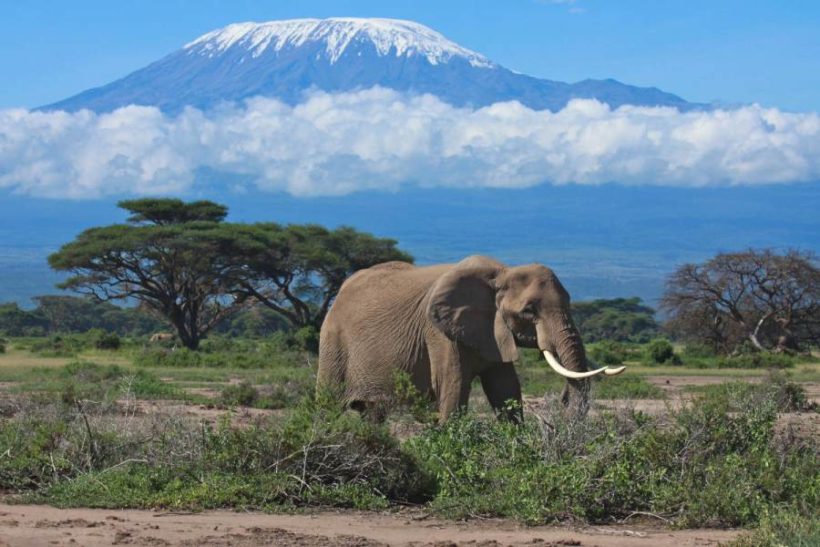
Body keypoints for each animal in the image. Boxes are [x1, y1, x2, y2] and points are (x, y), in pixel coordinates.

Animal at [318, 255, 624, 422]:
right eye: (529, 310)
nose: (561, 399)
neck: (501, 274)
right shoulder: (438, 333)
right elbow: (452, 390)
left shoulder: (493, 331)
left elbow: (506, 391)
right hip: (332, 340)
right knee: (328, 405)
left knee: (372, 414)